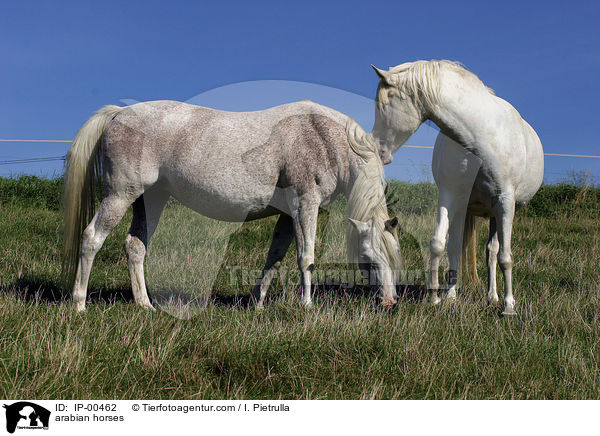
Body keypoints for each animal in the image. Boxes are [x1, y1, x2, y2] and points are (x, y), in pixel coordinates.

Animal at [63, 99, 400, 310]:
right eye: (368, 259)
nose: (390, 302)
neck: (323, 136)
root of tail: (119, 113)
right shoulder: (306, 204)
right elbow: (306, 258)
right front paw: (306, 305)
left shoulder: (287, 215)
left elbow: (274, 258)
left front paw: (257, 303)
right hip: (120, 195)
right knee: (92, 238)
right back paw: (79, 305)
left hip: (151, 199)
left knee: (135, 246)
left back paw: (145, 305)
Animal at [370, 59, 544, 316]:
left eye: (385, 103)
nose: (378, 150)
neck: (479, 136)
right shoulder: (450, 196)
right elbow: (438, 244)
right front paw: (433, 298)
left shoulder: (505, 201)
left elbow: (505, 256)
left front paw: (509, 306)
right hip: (467, 208)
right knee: (459, 248)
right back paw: (453, 296)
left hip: (497, 212)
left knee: (493, 252)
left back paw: (493, 297)